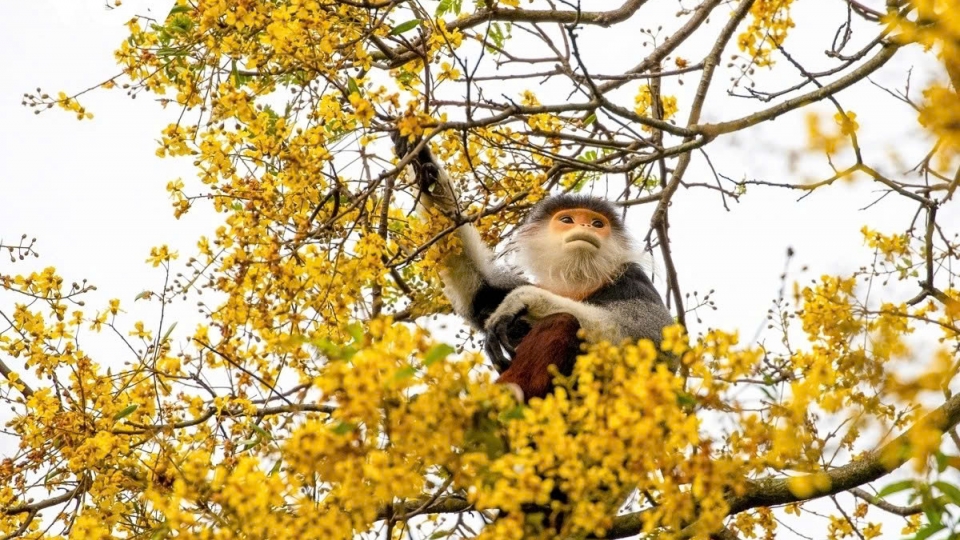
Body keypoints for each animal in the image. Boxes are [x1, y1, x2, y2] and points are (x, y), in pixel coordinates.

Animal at [394, 135, 674, 402]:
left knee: (563, 320)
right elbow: (480, 292)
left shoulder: (633, 278)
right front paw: (422, 161)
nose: (585, 227)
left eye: (597, 223)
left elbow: (642, 337)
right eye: (567, 219)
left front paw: (523, 299)